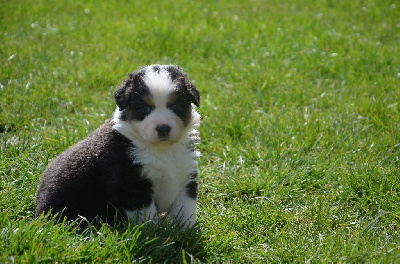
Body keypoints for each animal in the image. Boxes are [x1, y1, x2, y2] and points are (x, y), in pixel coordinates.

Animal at [35, 64, 200, 229]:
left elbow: (186, 211)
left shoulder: (186, 178)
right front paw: (152, 232)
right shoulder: (131, 185)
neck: (162, 150)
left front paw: (186, 231)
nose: (163, 128)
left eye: (175, 105)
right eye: (145, 109)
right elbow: (146, 219)